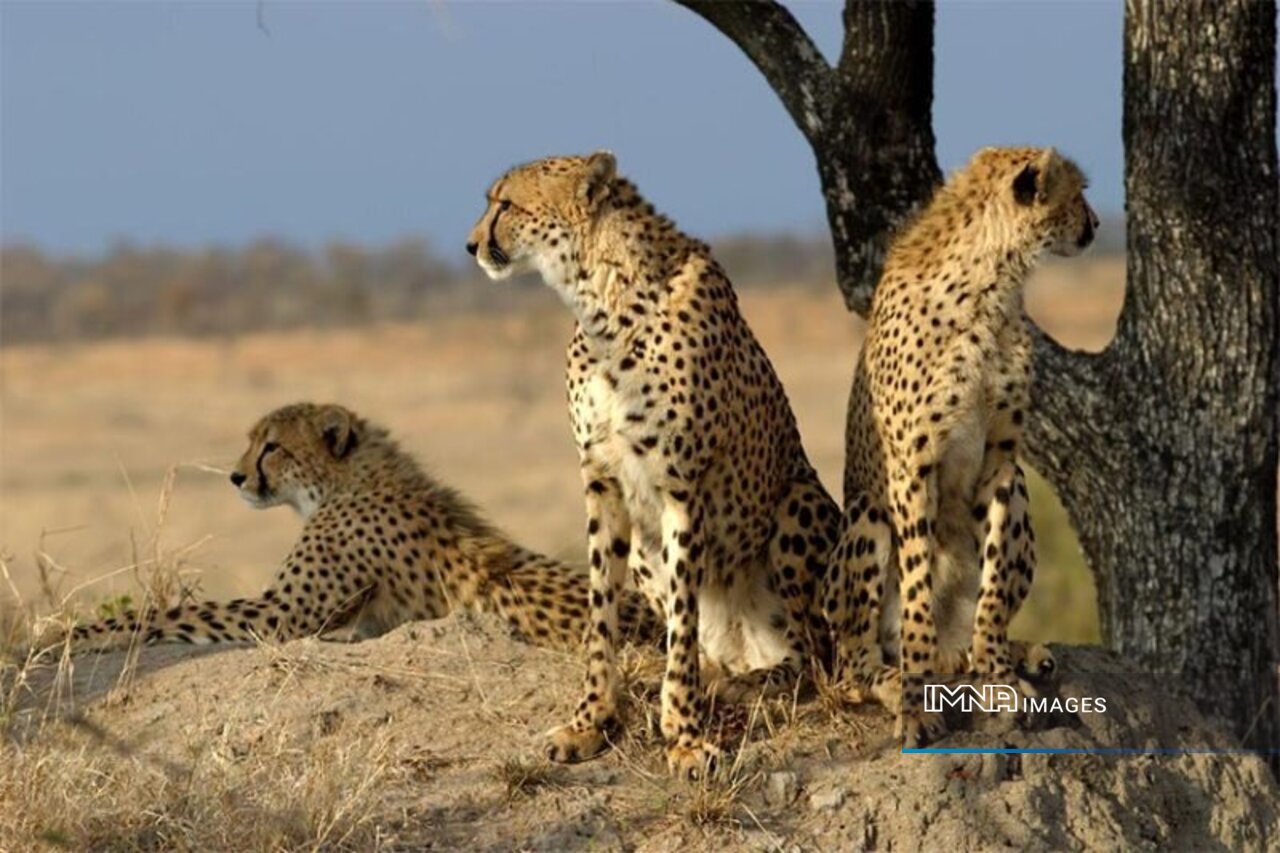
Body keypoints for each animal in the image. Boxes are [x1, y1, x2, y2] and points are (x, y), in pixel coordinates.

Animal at [57, 402, 660, 653]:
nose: (235, 477)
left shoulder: (284, 613)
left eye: (270, 447)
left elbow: (175, 612)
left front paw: (80, 634)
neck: (345, 481)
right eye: (253, 442)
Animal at [468, 153, 839, 778]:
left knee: (815, 655)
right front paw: (589, 722)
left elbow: (683, 622)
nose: (471, 244)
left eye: (506, 203)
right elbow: (602, 615)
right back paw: (717, 675)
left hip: (797, 503)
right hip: (647, 552)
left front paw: (685, 736)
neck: (602, 297)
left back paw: (758, 681)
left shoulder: (680, 486)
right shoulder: (602, 482)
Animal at [829, 147, 1100, 742]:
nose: (1095, 225)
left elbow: (992, 588)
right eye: (1077, 193)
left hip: (1020, 490)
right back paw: (892, 679)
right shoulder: (912, 466)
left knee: (968, 630)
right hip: (866, 516)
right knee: (853, 662)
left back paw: (1008, 653)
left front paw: (998, 676)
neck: (991, 287)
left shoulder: (1001, 461)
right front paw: (916, 703)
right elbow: (916, 593)